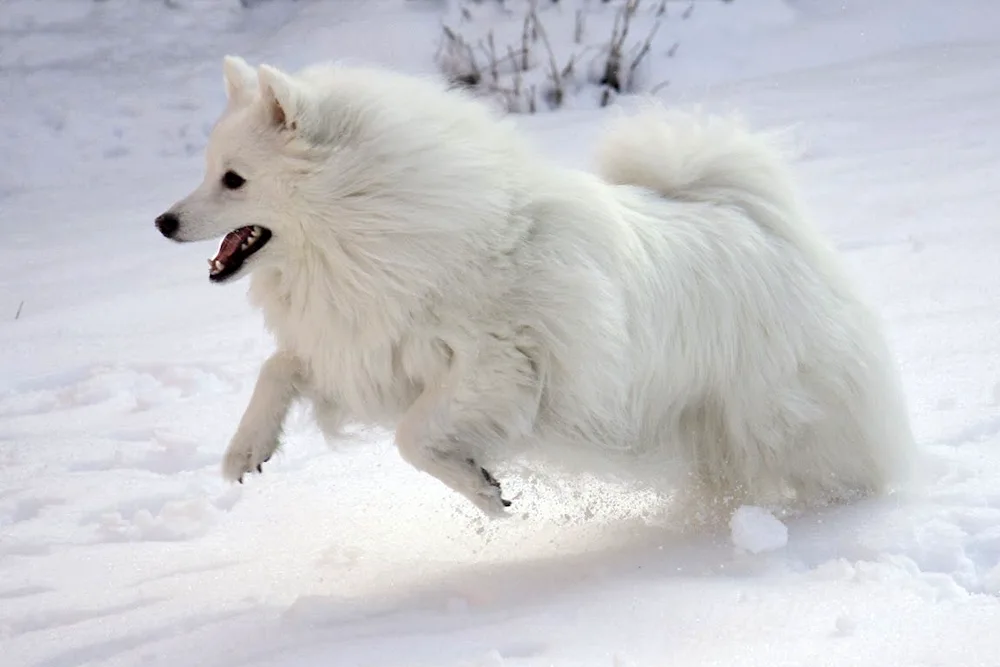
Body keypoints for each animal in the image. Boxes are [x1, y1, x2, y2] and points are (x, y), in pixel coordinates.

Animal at [154, 56, 916, 516]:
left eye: (234, 180)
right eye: (208, 170)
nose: (162, 221)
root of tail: (757, 219)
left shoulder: (496, 365)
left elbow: (411, 437)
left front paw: (484, 492)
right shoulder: (371, 352)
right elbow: (279, 367)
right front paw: (246, 451)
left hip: (779, 414)